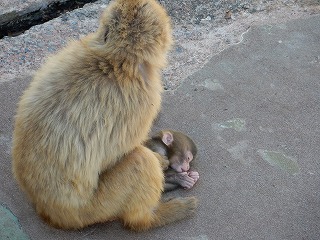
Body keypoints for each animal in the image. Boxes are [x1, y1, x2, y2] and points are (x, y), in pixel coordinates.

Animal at [12, 0, 196, 232]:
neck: (115, 58)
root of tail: (49, 212)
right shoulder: (143, 99)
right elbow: (117, 152)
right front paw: (161, 160)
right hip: (94, 209)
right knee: (139, 161)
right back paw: (148, 218)